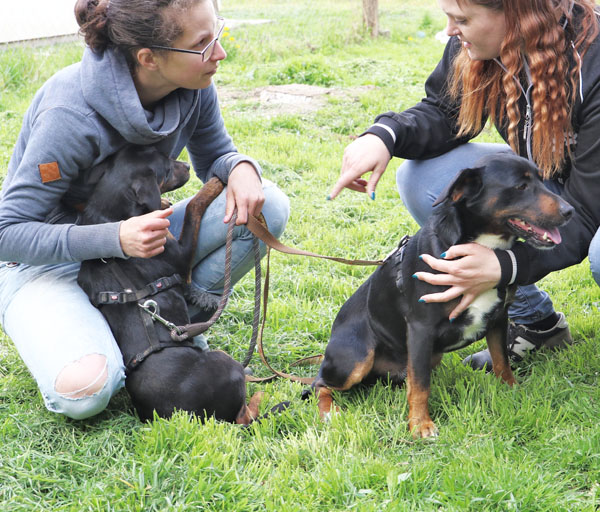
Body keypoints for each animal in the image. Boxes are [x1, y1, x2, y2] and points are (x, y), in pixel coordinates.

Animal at [77, 145, 269, 424]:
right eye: (165, 169)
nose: (188, 166)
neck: (108, 216)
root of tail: (193, 416)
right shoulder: (181, 255)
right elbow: (193, 207)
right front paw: (213, 184)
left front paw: (164, 203)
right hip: (226, 364)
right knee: (246, 415)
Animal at [311, 152, 574, 438]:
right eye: (520, 186)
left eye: (541, 179)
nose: (570, 211)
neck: (481, 247)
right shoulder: (420, 329)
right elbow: (420, 384)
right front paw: (420, 425)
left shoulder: (498, 317)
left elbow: (501, 359)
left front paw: (511, 388)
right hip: (355, 360)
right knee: (317, 384)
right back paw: (329, 412)